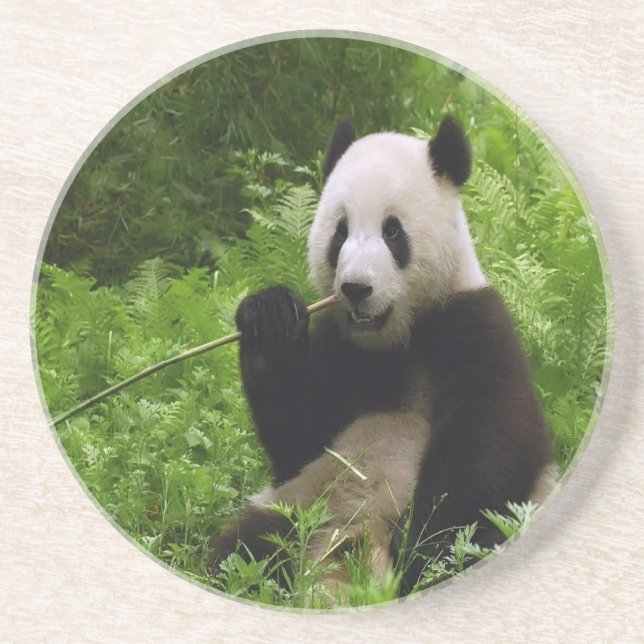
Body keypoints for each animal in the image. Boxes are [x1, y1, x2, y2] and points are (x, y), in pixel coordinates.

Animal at [209, 116, 556, 596]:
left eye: (393, 232)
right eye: (340, 232)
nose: (356, 288)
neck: (392, 341)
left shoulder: (473, 325)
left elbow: (492, 443)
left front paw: (419, 546)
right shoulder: (339, 347)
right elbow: (300, 437)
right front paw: (270, 319)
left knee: (479, 540)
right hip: (301, 505)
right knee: (245, 550)